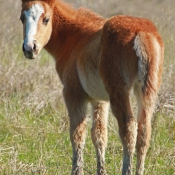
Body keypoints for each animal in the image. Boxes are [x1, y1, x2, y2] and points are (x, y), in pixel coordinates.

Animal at [20, 0, 164, 174]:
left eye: (46, 19)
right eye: (22, 18)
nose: (29, 48)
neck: (74, 37)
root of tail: (142, 33)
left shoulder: (73, 93)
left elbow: (77, 134)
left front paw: (77, 170)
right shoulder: (99, 99)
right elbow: (99, 134)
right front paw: (101, 171)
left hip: (118, 92)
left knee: (129, 128)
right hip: (148, 90)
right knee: (144, 130)